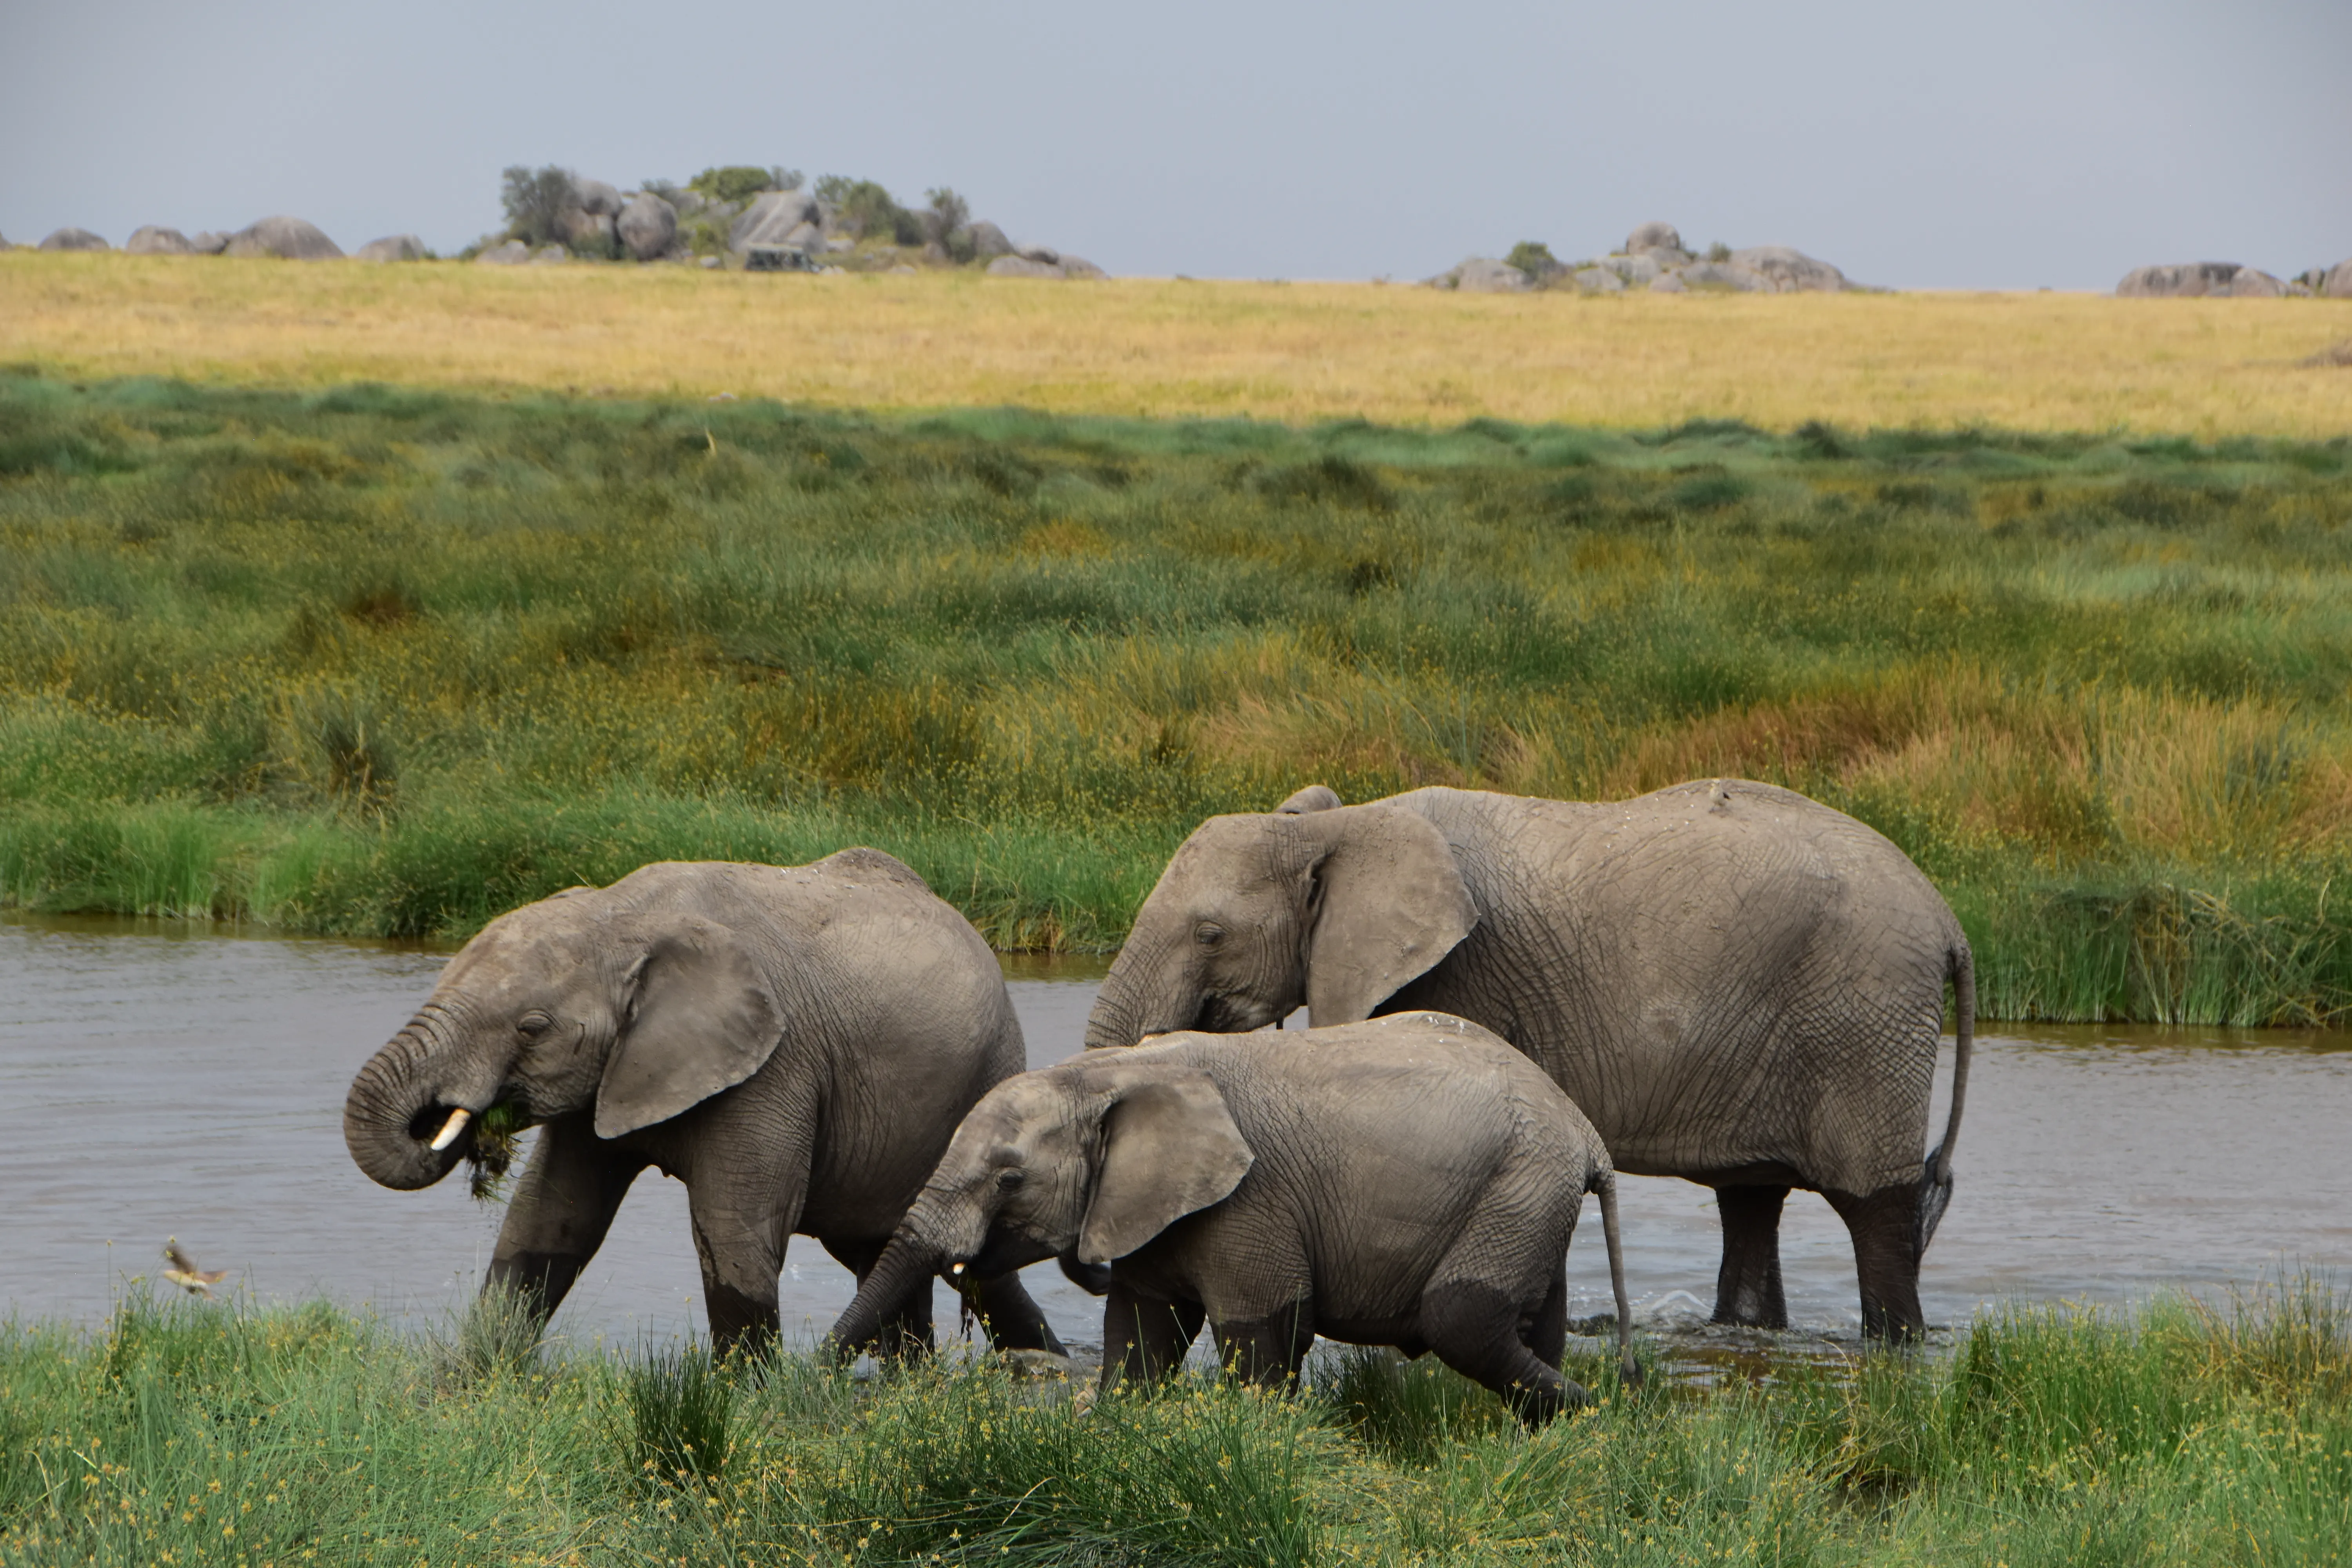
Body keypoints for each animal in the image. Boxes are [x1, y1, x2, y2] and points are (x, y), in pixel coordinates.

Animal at [342, 851, 1064, 1359]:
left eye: (532, 1028)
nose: (446, 1120)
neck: (620, 916)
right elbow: (546, 1222)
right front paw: (461, 1388)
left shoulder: (776, 1065)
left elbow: (734, 1233)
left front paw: (746, 1408)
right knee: (893, 1260)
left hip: (989, 1075)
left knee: (974, 1266)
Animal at [829, 1013, 1639, 1425]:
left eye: (1009, 1179)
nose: (815, 1378)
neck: (1113, 1073)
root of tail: (1583, 1130)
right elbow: (1141, 1335)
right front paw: (1123, 1426)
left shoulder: (1252, 1199)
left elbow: (1264, 1327)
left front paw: (1265, 1441)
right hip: (1530, 1195)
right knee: (1531, 1321)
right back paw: (1549, 1435)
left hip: (1519, 1184)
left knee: (1461, 1319)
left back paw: (1594, 1411)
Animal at [1082, 779, 1975, 1342]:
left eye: (1209, 934)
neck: (1345, 826)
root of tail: (1948, 920)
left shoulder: (1461, 968)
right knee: (1750, 1201)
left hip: (1866, 1018)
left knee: (1875, 1209)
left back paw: (1895, 1344)